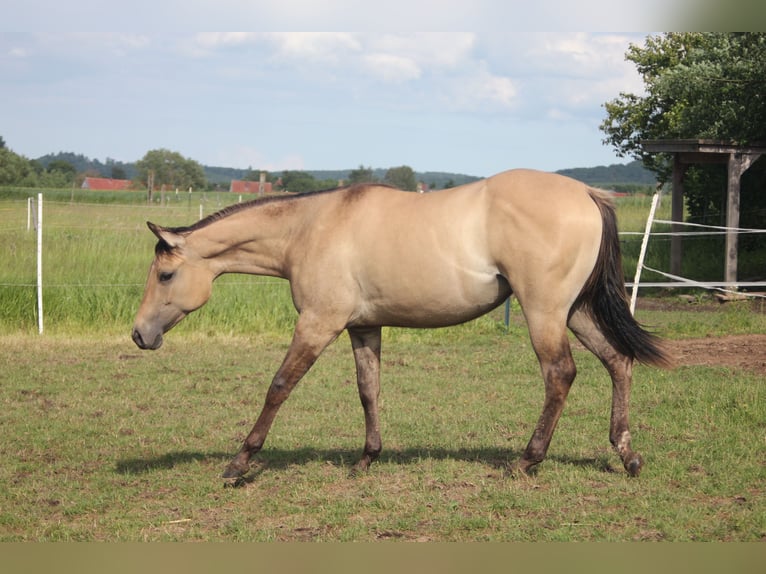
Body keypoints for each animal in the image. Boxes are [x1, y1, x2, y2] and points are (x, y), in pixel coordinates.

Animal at [132, 168, 672, 480]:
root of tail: (587, 193)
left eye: (166, 275)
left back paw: (526, 460)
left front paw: (240, 462)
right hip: (574, 311)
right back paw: (626, 455)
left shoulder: (318, 323)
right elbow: (368, 389)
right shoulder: (361, 327)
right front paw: (367, 458)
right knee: (618, 362)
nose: (140, 334)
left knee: (560, 375)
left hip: (544, 313)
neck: (309, 228)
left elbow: (279, 386)